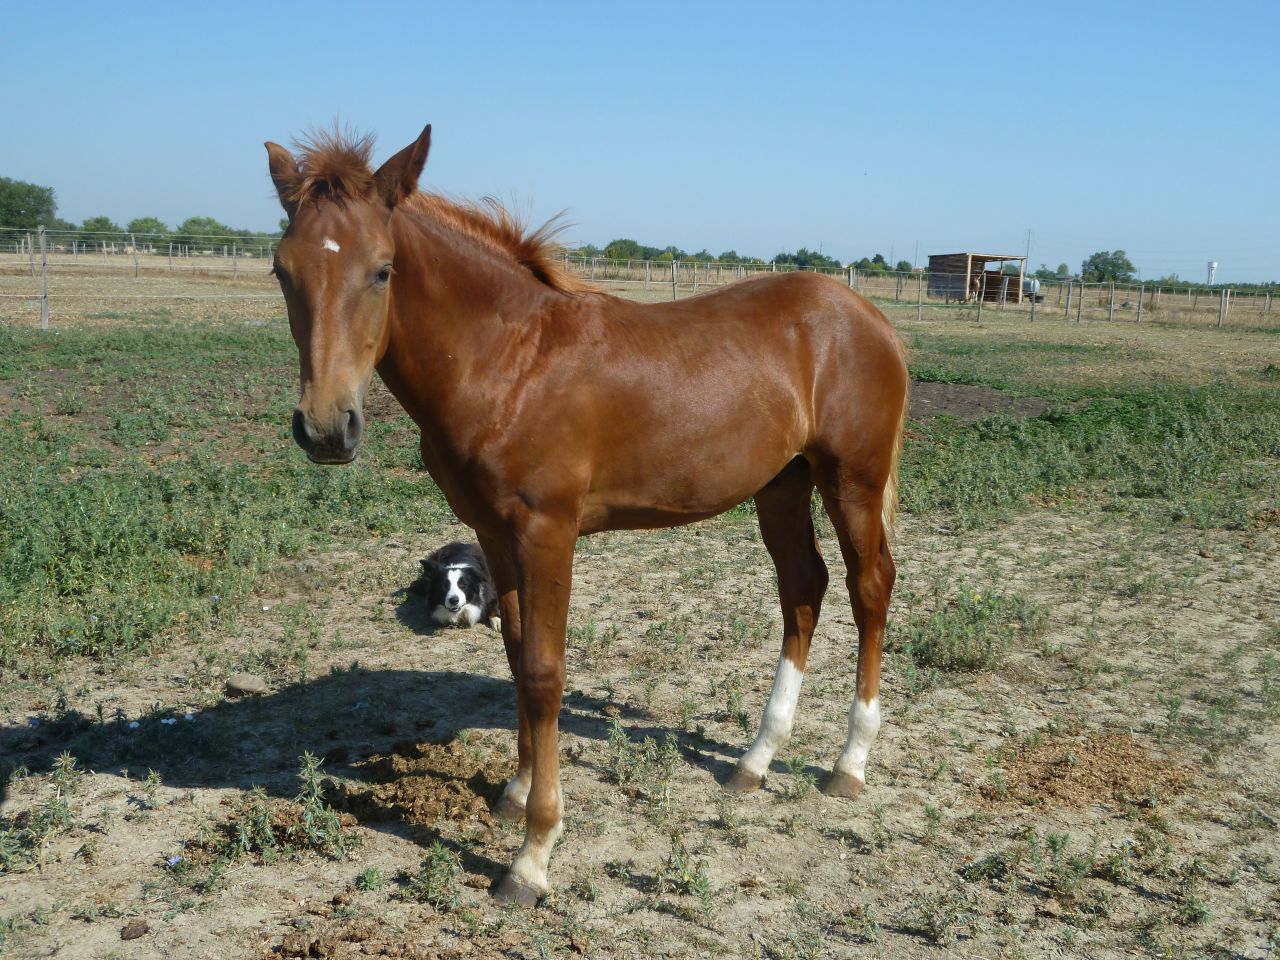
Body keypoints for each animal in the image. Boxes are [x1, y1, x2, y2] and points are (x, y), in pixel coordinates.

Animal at [264, 125, 909, 906]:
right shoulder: (493, 534)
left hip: (852, 480)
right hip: (782, 483)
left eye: (383, 271)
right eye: (281, 270)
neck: (508, 360)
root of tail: (872, 319)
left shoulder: (549, 532)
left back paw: (849, 763)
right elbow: (516, 657)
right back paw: (755, 760)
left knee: (869, 588)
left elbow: (545, 671)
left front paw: (532, 854)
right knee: (803, 588)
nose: (328, 430)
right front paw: (514, 791)